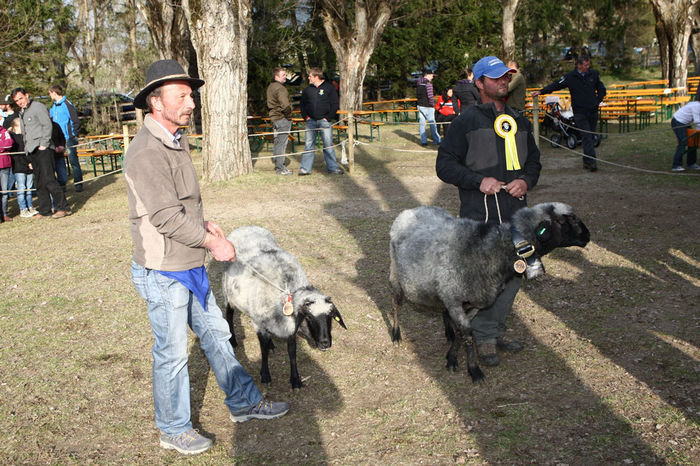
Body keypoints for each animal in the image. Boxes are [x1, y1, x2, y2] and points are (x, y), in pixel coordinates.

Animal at [223, 226, 346, 390]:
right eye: (309, 317)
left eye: (330, 316)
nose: (325, 343)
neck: (286, 292)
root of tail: (245, 227)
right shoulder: (258, 323)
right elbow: (263, 350)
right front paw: (265, 374)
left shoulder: (290, 327)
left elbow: (292, 351)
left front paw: (295, 379)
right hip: (228, 292)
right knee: (229, 314)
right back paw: (233, 340)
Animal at [388, 202, 592, 380]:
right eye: (565, 220)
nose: (587, 236)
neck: (497, 249)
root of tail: (411, 210)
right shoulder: (454, 299)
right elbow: (467, 333)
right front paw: (473, 370)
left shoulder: (476, 300)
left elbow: (463, 331)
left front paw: (452, 355)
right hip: (396, 275)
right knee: (396, 304)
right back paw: (396, 335)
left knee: (442, 310)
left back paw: (448, 332)